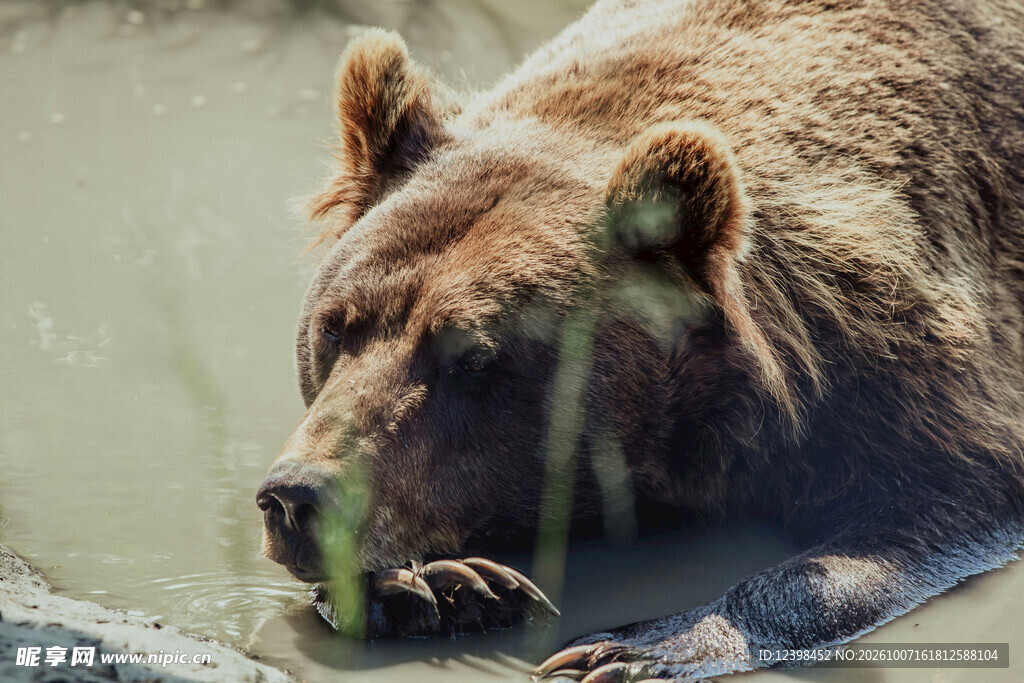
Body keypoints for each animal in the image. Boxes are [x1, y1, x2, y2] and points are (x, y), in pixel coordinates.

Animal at [257, 0, 1024, 680]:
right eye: (334, 325)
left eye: (470, 356)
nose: (297, 496)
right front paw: (442, 584)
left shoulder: (900, 358)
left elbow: (950, 497)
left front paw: (632, 646)